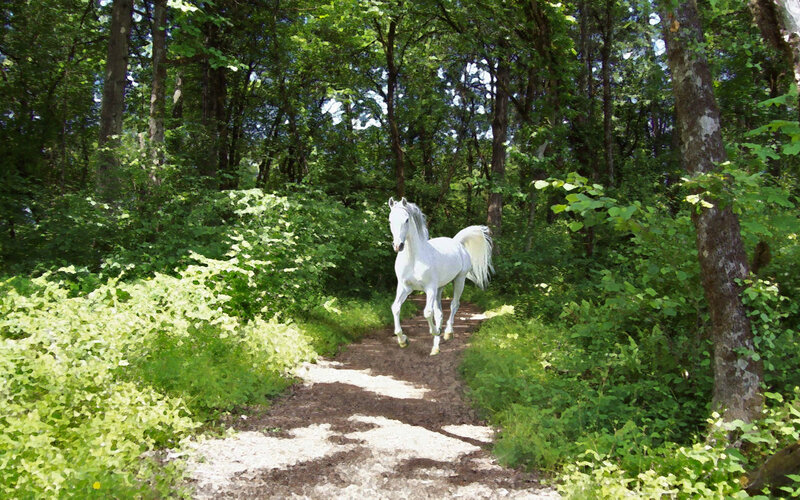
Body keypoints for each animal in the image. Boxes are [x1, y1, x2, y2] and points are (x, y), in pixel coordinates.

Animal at [388, 197, 494, 356]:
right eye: (390, 220)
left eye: (406, 220)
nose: (398, 246)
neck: (414, 258)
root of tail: (457, 242)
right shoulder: (405, 287)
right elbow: (395, 308)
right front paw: (403, 341)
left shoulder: (430, 288)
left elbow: (427, 312)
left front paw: (436, 331)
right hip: (440, 288)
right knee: (439, 314)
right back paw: (435, 348)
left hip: (459, 280)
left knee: (454, 305)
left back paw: (448, 333)